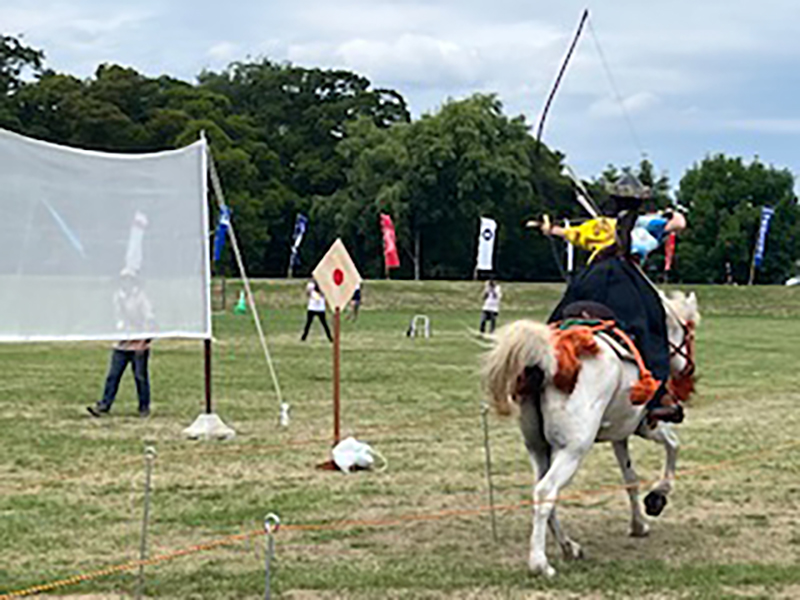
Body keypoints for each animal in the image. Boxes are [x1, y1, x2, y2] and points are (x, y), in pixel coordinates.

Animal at [482, 290, 700, 576]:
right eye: (689, 334)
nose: (689, 369)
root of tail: (546, 361)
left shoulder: (620, 435)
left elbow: (630, 478)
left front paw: (638, 524)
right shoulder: (645, 425)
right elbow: (673, 445)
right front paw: (657, 497)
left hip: (538, 447)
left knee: (542, 492)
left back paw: (568, 546)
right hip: (573, 449)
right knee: (546, 491)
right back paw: (540, 563)